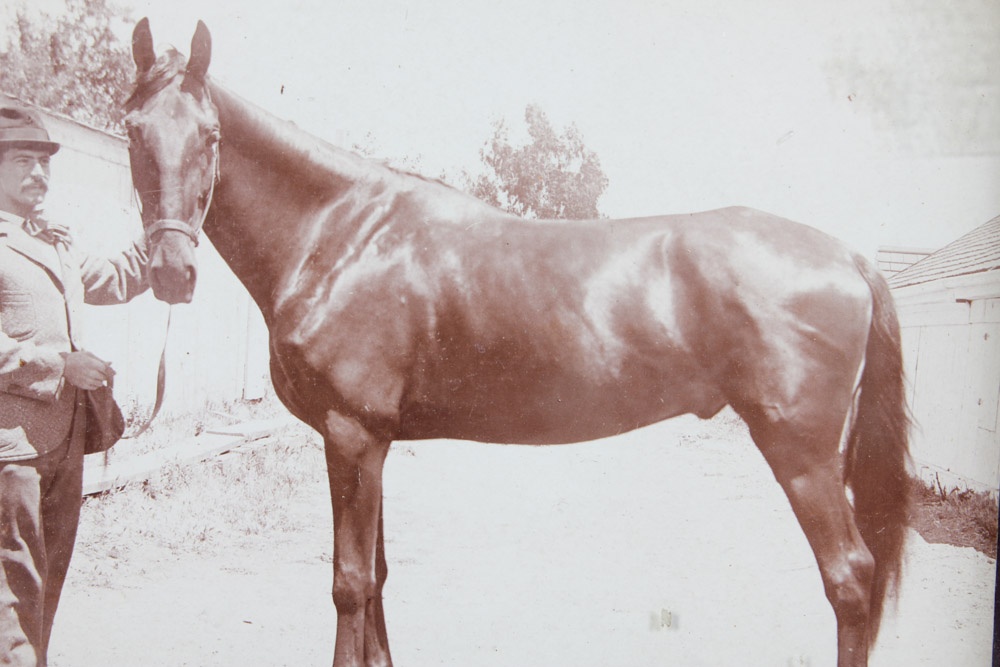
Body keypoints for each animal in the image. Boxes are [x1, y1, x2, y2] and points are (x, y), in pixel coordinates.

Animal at [123, 18, 910, 667]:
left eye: (210, 136)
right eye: (133, 131)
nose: (170, 273)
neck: (341, 235)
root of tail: (848, 257)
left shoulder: (349, 434)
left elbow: (348, 582)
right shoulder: (371, 441)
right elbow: (376, 578)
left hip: (801, 453)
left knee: (849, 578)